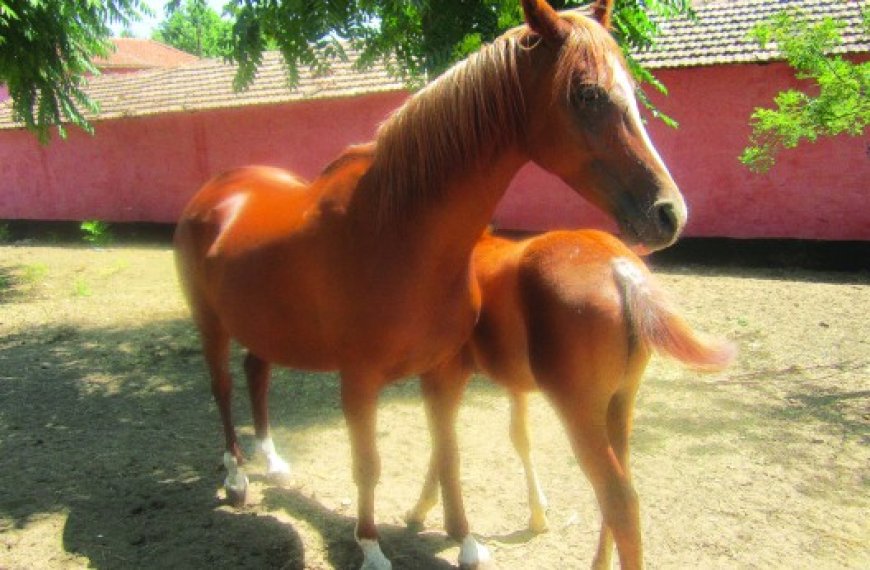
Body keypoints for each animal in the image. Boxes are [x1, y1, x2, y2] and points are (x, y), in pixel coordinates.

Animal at [172, 2, 688, 564]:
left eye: (632, 91)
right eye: (587, 93)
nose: (668, 213)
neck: (396, 228)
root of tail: (216, 192)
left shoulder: (441, 371)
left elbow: (448, 453)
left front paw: (465, 540)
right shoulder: (359, 381)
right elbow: (369, 463)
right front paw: (372, 548)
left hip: (263, 324)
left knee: (256, 373)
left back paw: (272, 461)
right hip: (210, 323)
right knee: (223, 387)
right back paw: (237, 475)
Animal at [408, 229, 736, 564]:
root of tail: (619, 268)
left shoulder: (443, 373)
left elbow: (444, 443)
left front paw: (429, 515)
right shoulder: (515, 384)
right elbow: (515, 437)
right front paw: (538, 514)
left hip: (580, 413)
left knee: (619, 499)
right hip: (620, 403)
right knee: (621, 485)